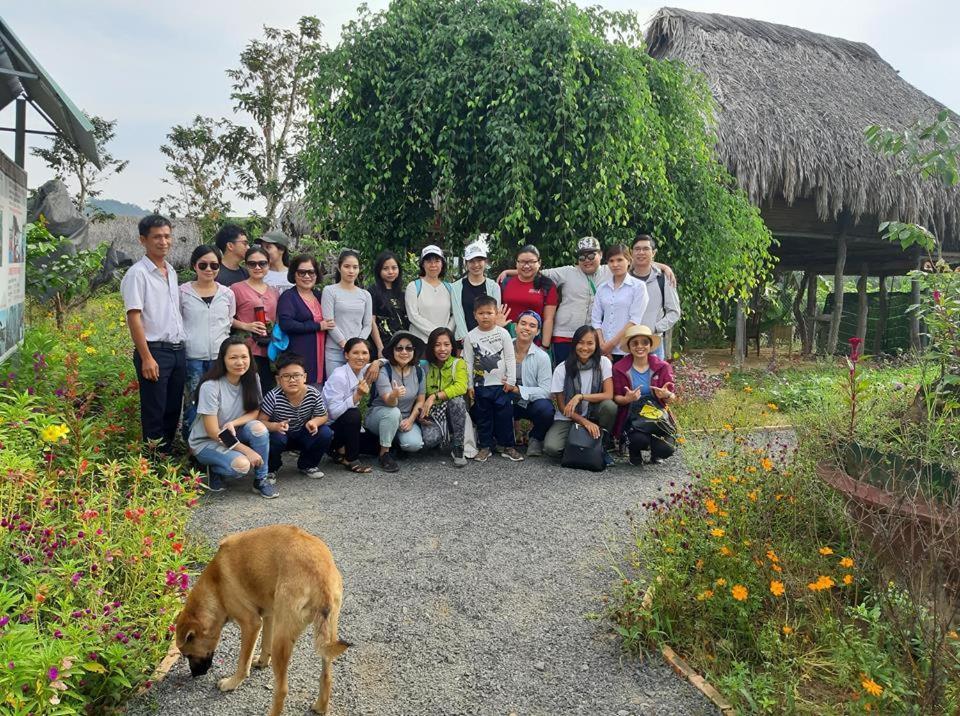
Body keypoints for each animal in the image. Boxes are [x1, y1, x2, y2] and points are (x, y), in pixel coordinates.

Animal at [175, 524, 348, 712]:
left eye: (187, 654)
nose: (195, 674)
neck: (216, 585)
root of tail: (320, 575)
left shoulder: (251, 624)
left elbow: (243, 663)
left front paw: (232, 683)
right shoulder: (269, 615)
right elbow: (265, 644)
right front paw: (262, 661)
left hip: (282, 638)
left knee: (282, 689)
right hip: (326, 635)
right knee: (327, 677)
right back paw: (321, 707)